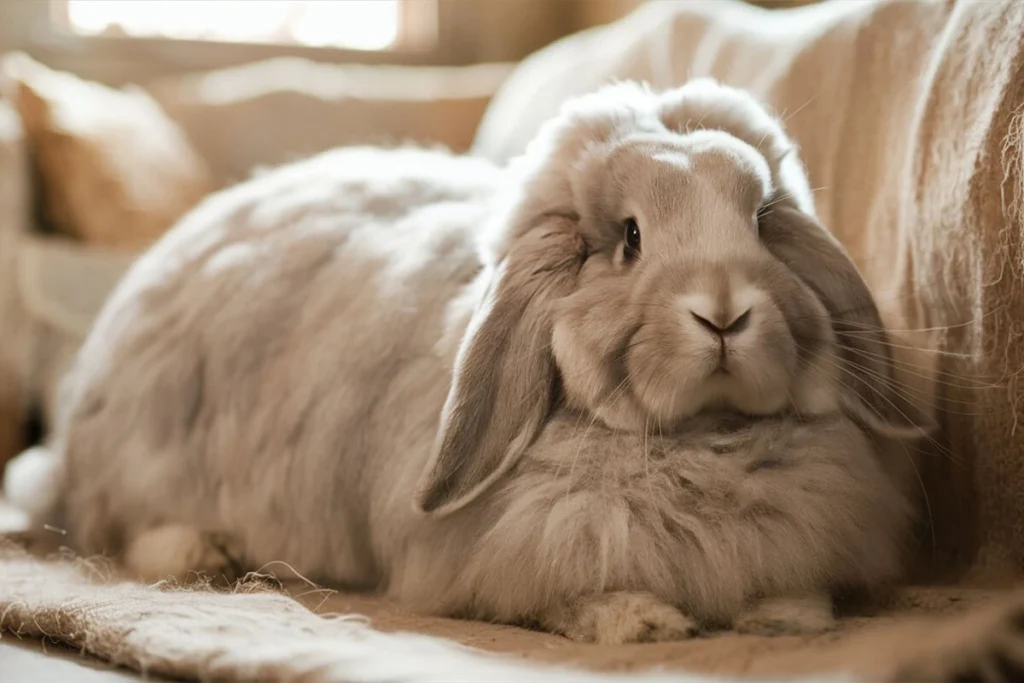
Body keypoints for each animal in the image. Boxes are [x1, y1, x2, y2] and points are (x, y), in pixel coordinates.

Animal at [4, 77, 929, 643]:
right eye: (630, 239)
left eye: (762, 220)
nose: (726, 309)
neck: (700, 440)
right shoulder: (507, 558)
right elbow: (566, 593)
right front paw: (643, 621)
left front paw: (789, 615)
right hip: (149, 456)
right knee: (122, 528)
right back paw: (208, 553)